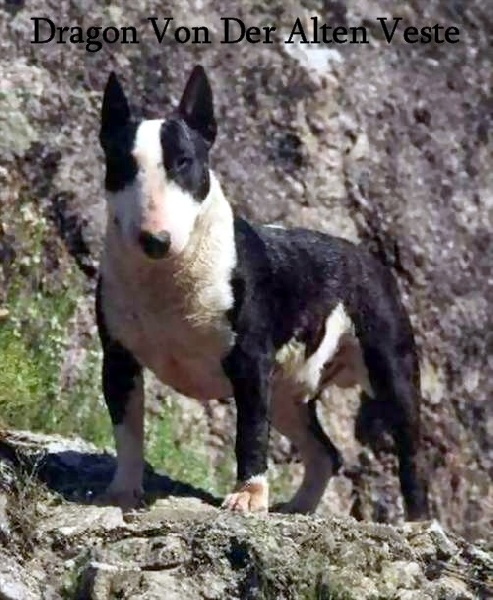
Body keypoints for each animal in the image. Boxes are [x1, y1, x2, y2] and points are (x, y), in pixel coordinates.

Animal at [96, 65, 429, 519]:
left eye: (183, 162)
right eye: (122, 165)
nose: (155, 240)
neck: (165, 278)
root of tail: (367, 257)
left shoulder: (250, 360)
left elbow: (250, 431)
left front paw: (249, 496)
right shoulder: (118, 356)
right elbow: (127, 428)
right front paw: (122, 490)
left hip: (389, 365)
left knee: (410, 451)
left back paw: (420, 524)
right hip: (289, 391)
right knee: (326, 453)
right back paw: (299, 507)